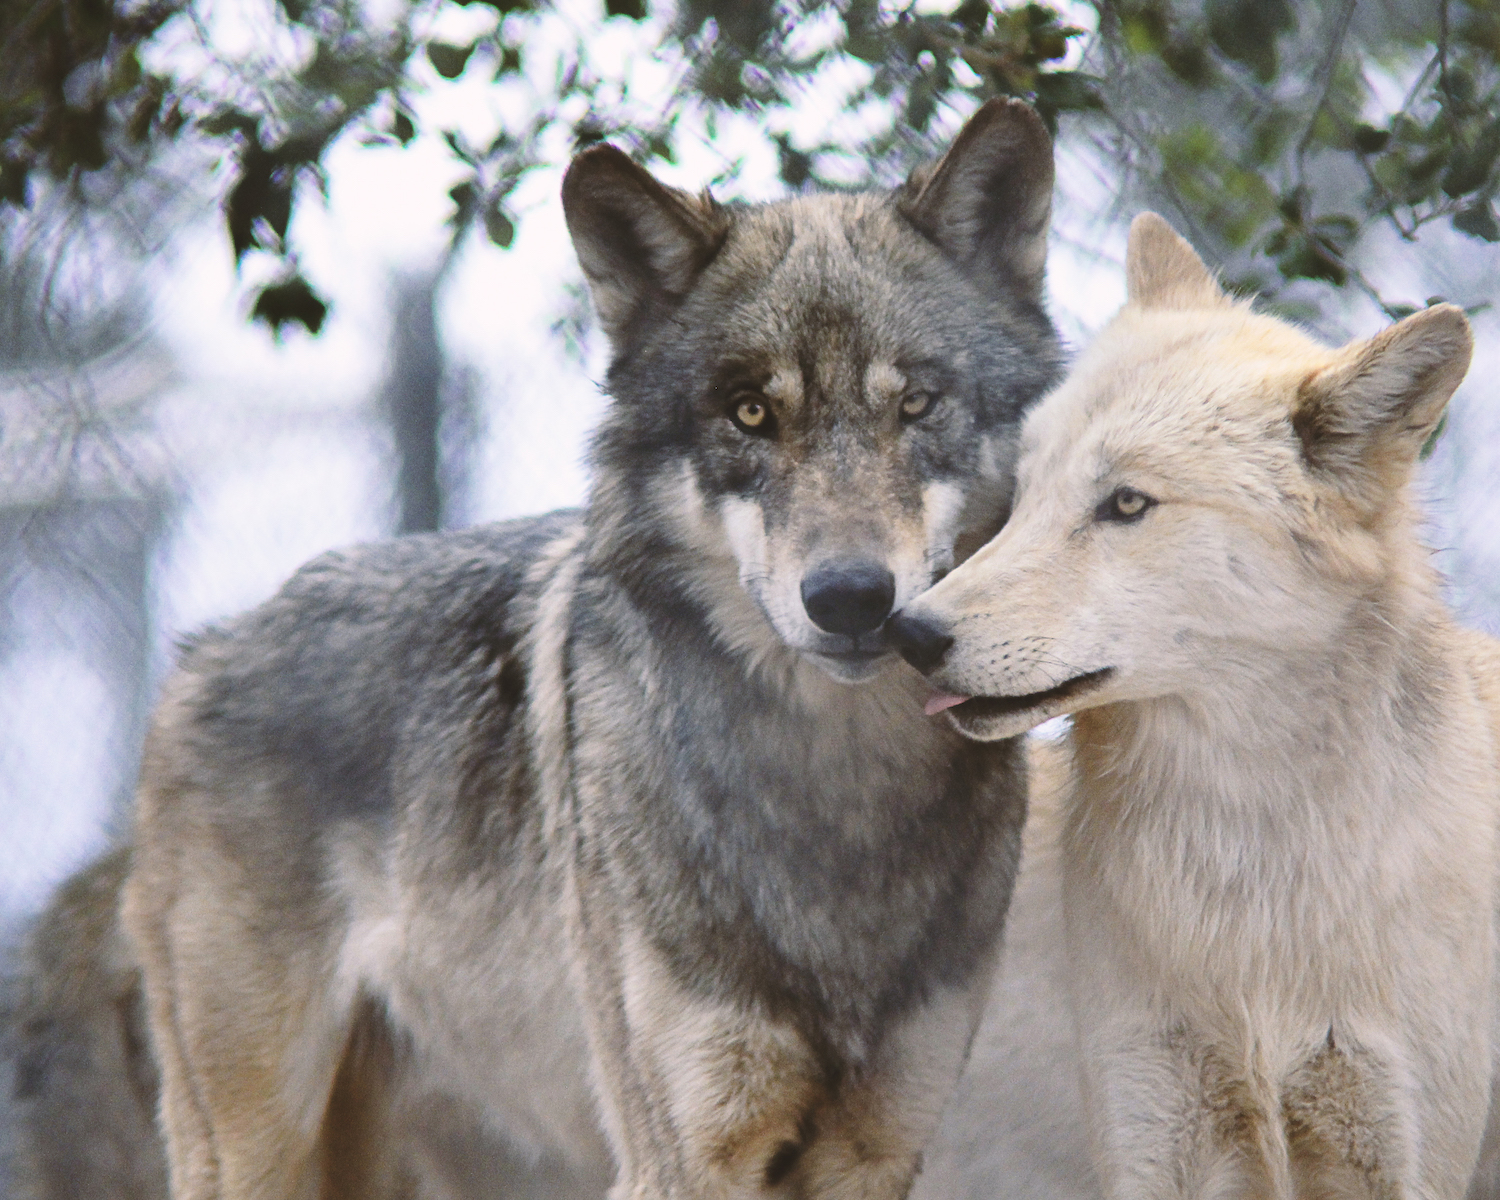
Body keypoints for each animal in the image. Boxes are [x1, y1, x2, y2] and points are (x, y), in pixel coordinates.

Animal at [82, 98, 1062, 1194]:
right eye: (750, 413)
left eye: (918, 403)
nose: (851, 598)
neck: (838, 800)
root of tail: (202, 651)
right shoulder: (682, 1160)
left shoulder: (876, 1153)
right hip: (256, 1147)